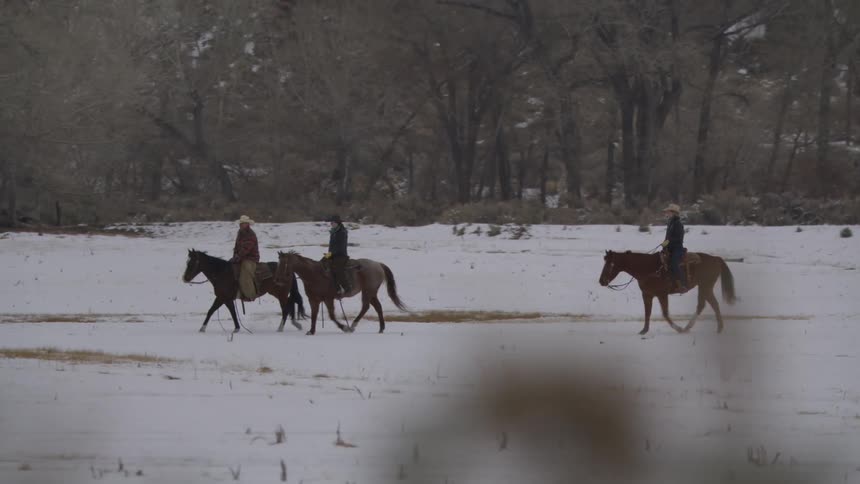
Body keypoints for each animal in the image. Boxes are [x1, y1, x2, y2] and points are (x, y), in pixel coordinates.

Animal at [274, 250, 407, 335]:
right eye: (278, 263)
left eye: (284, 264)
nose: (277, 280)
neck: (314, 274)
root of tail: (378, 264)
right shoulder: (314, 300)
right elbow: (314, 315)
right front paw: (311, 331)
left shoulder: (328, 299)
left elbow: (332, 316)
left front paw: (344, 327)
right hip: (371, 292)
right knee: (377, 307)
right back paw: (381, 328)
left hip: (368, 291)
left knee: (366, 306)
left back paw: (353, 325)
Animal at [598, 250, 736, 335]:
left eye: (610, 264)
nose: (601, 281)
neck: (648, 269)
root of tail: (716, 259)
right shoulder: (647, 295)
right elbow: (647, 313)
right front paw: (644, 330)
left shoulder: (662, 294)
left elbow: (665, 314)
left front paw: (678, 328)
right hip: (704, 287)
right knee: (708, 305)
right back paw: (710, 328)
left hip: (705, 286)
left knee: (707, 305)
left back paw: (692, 328)